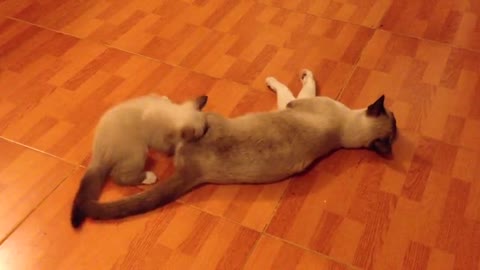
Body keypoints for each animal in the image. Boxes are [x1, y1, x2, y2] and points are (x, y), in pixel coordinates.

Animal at [71, 94, 208, 228]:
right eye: (201, 134)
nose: (205, 134)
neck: (172, 113)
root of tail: (97, 154)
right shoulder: (160, 139)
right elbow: (169, 145)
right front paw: (173, 149)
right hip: (139, 151)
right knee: (118, 177)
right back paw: (149, 177)